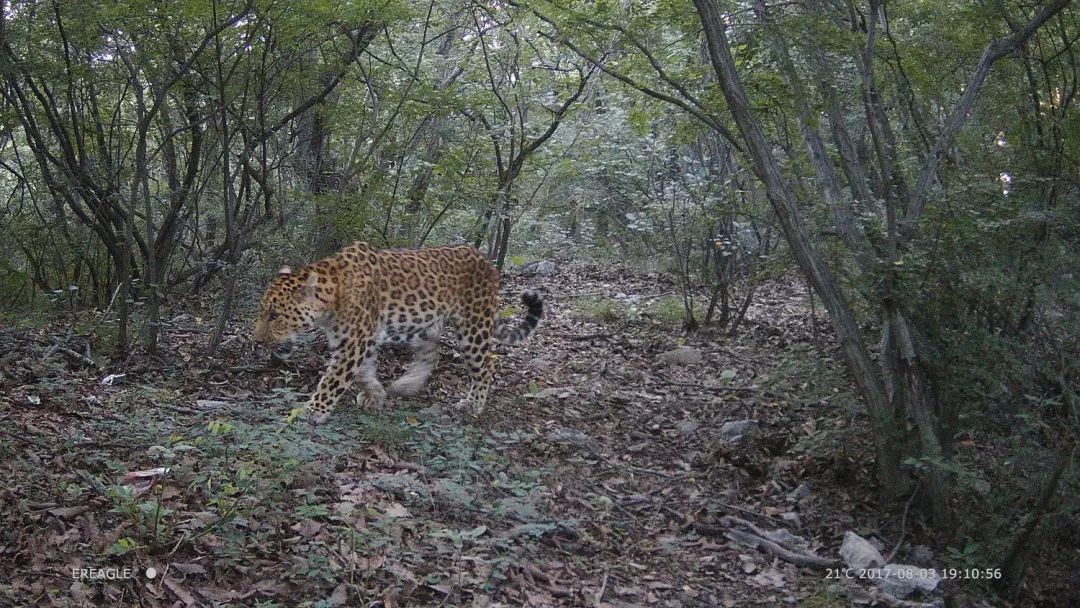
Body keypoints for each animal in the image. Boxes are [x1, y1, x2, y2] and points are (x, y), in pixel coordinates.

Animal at [250, 241, 540, 423]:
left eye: (274, 315)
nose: (258, 339)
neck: (331, 298)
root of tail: (487, 262)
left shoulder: (354, 342)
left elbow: (333, 379)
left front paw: (313, 410)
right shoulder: (358, 340)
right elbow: (363, 374)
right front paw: (375, 396)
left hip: (473, 326)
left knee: (486, 365)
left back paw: (474, 404)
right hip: (421, 325)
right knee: (432, 355)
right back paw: (406, 384)